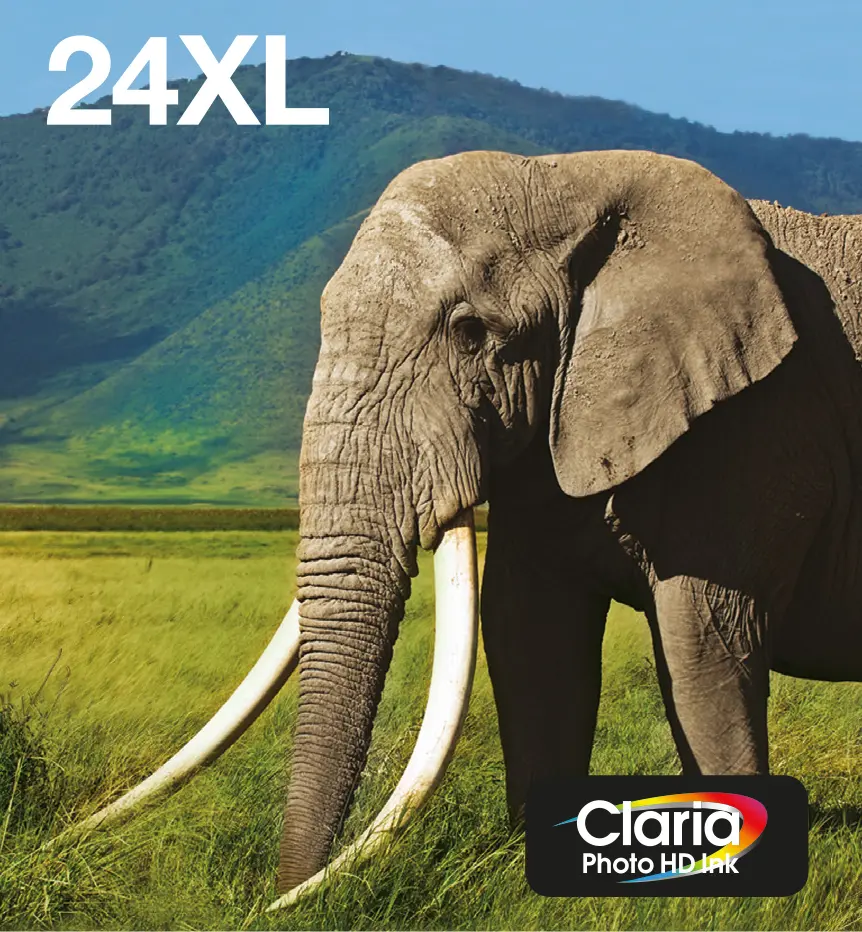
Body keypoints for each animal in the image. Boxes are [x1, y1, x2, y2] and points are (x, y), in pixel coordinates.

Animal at [72, 149, 862, 907]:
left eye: (471, 333)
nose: (277, 895)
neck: (570, 175)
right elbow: (530, 634)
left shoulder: (759, 422)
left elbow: (706, 642)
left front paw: (735, 889)